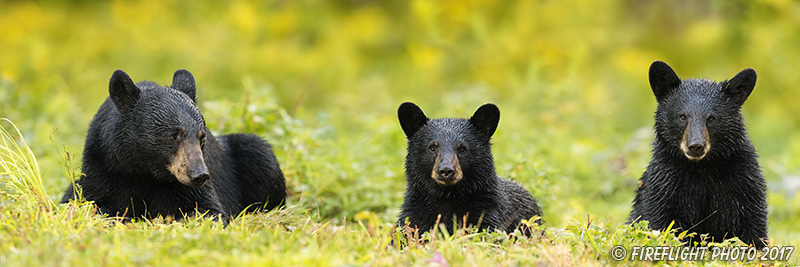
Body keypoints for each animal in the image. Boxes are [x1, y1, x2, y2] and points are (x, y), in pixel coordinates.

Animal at [62, 69, 288, 222]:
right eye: (173, 135)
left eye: (202, 136)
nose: (199, 175)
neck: (142, 171)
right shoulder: (102, 169)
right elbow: (94, 205)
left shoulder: (184, 186)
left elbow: (208, 209)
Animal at [396, 103, 540, 237]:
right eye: (432, 147)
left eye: (462, 148)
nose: (446, 170)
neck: (447, 196)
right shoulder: (415, 213)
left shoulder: (486, 210)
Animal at [632, 61, 768, 249]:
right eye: (682, 116)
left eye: (711, 118)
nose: (696, 146)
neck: (702, 168)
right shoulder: (665, 182)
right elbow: (660, 221)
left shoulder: (744, 180)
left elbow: (752, 224)